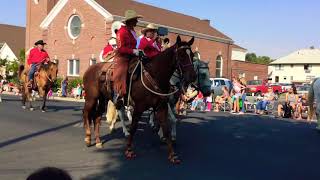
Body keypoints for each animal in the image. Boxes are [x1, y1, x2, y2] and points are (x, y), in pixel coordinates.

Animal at [82, 35, 196, 164]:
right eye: (181, 55)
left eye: (192, 55)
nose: (193, 76)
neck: (154, 76)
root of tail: (91, 68)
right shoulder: (139, 107)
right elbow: (133, 127)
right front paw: (129, 150)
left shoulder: (161, 107)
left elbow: (166, 127)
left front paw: (172, 155)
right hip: (91, 98)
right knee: (86, 113)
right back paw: (88, 138)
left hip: (103, 99)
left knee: (97, 117)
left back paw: (98, 141)